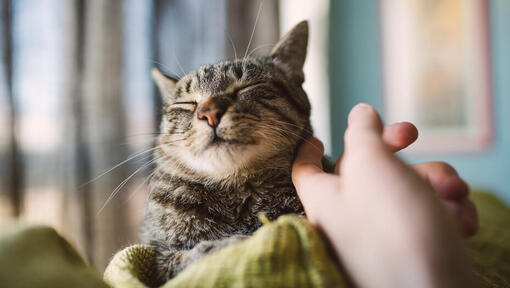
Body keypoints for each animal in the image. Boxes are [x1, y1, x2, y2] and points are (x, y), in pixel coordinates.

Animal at [140, 20, 330, 284]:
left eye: (247, 87)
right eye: (187, 103)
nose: (209, 113)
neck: (235, 190)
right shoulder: (159, 257)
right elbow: (192, 258)